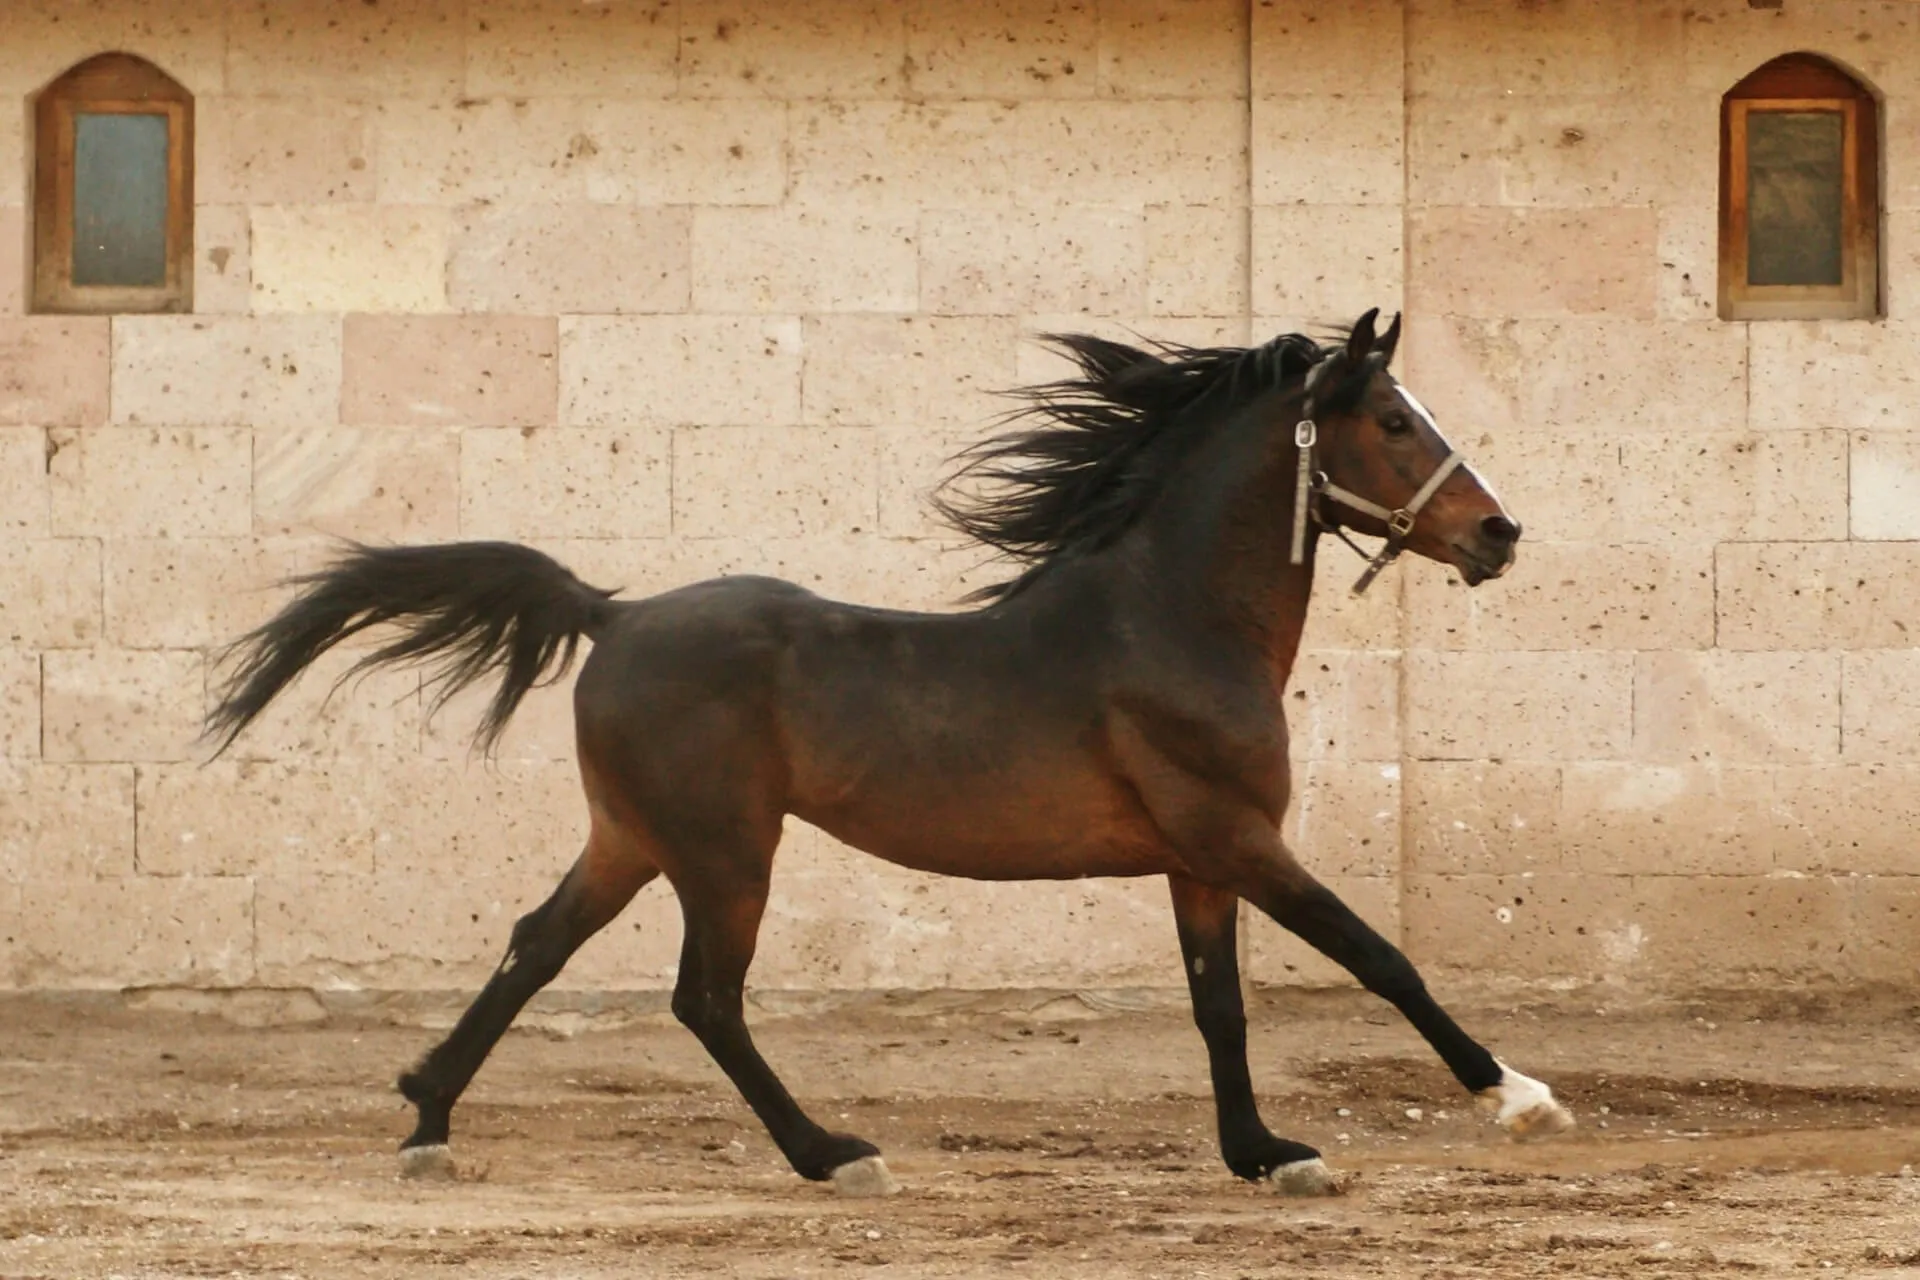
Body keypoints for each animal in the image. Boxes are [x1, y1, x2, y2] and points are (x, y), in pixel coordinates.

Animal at [204, 308, 1572, 1199]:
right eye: (1392, 419)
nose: (1500, 534)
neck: (1170, 619)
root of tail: (615, 615)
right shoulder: (1237, 835)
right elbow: (1380, 956)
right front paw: (1516, 1094)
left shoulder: (1199, 860)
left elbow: (1219, 1005)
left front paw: (1265, 1151)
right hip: (724, 852)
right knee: (705, 998)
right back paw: (835, 1153)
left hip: (631, 839)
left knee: (535, 946)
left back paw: (427, 1116)